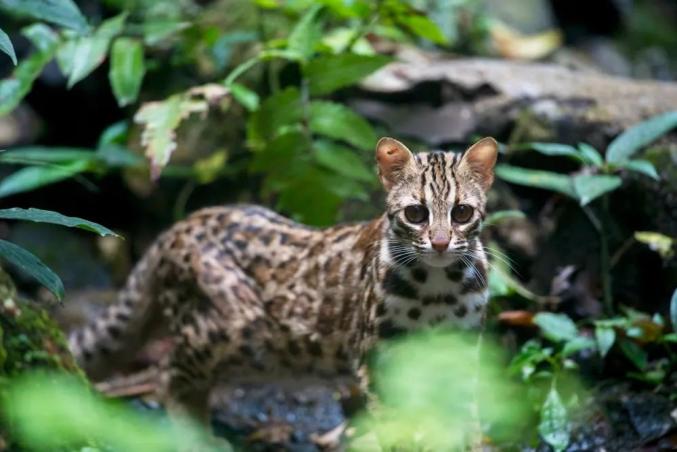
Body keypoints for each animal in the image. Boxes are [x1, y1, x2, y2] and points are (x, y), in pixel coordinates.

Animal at [70, 138, 496, 434]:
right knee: (164, 372)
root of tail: (179, 226)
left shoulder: (462, 348)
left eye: (461, 212)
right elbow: (399, 422)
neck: (438, 288)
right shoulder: (380, 359)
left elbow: (465, 414)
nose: (440, 243)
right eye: (415, 213)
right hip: (231, 327)